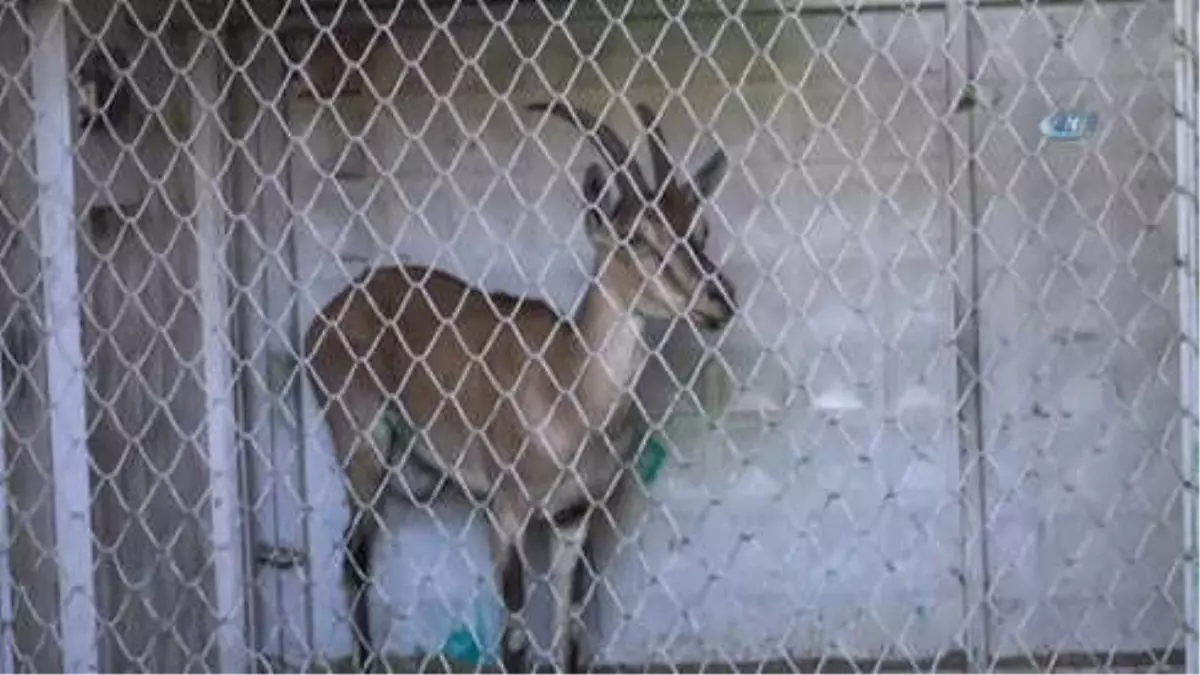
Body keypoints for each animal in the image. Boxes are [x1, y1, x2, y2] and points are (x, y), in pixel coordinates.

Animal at [304, 99, 734, 672]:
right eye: (636, 237)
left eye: (700, 229)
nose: (718, 300)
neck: (569, 389)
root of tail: (323, 318)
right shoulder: (506, 510)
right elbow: (514, 640)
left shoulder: (575, 514)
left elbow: (568, 634)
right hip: (361, 443)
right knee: (354, 558)